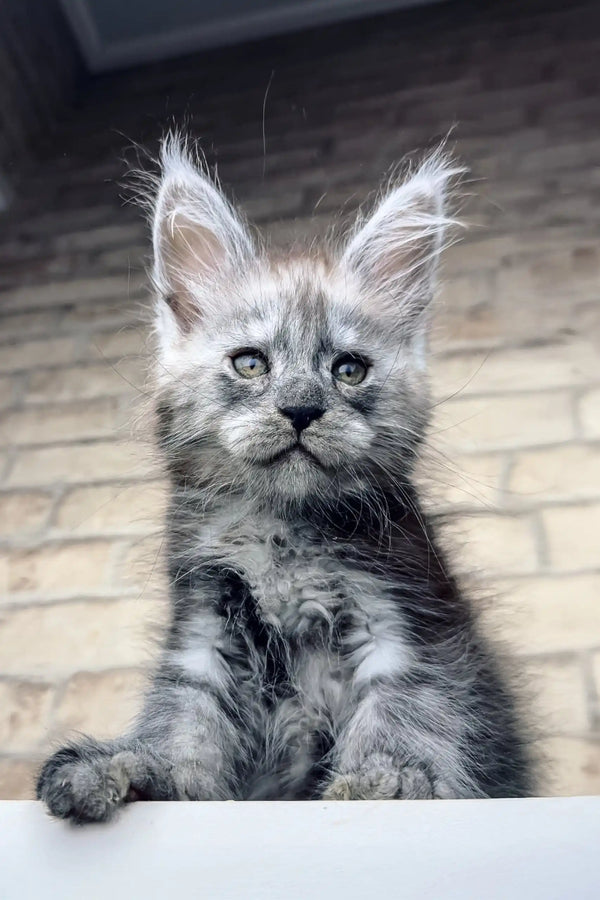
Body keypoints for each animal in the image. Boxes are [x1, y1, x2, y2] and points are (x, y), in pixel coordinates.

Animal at [36, 135, 528, 824]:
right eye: (250, 364)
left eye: (348, 370)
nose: (300, 409)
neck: (281, 532)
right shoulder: (206, 633)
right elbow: (182, 722)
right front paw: (132, 767)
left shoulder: (409, 624)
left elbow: (405, 712)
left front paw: (385, 780)